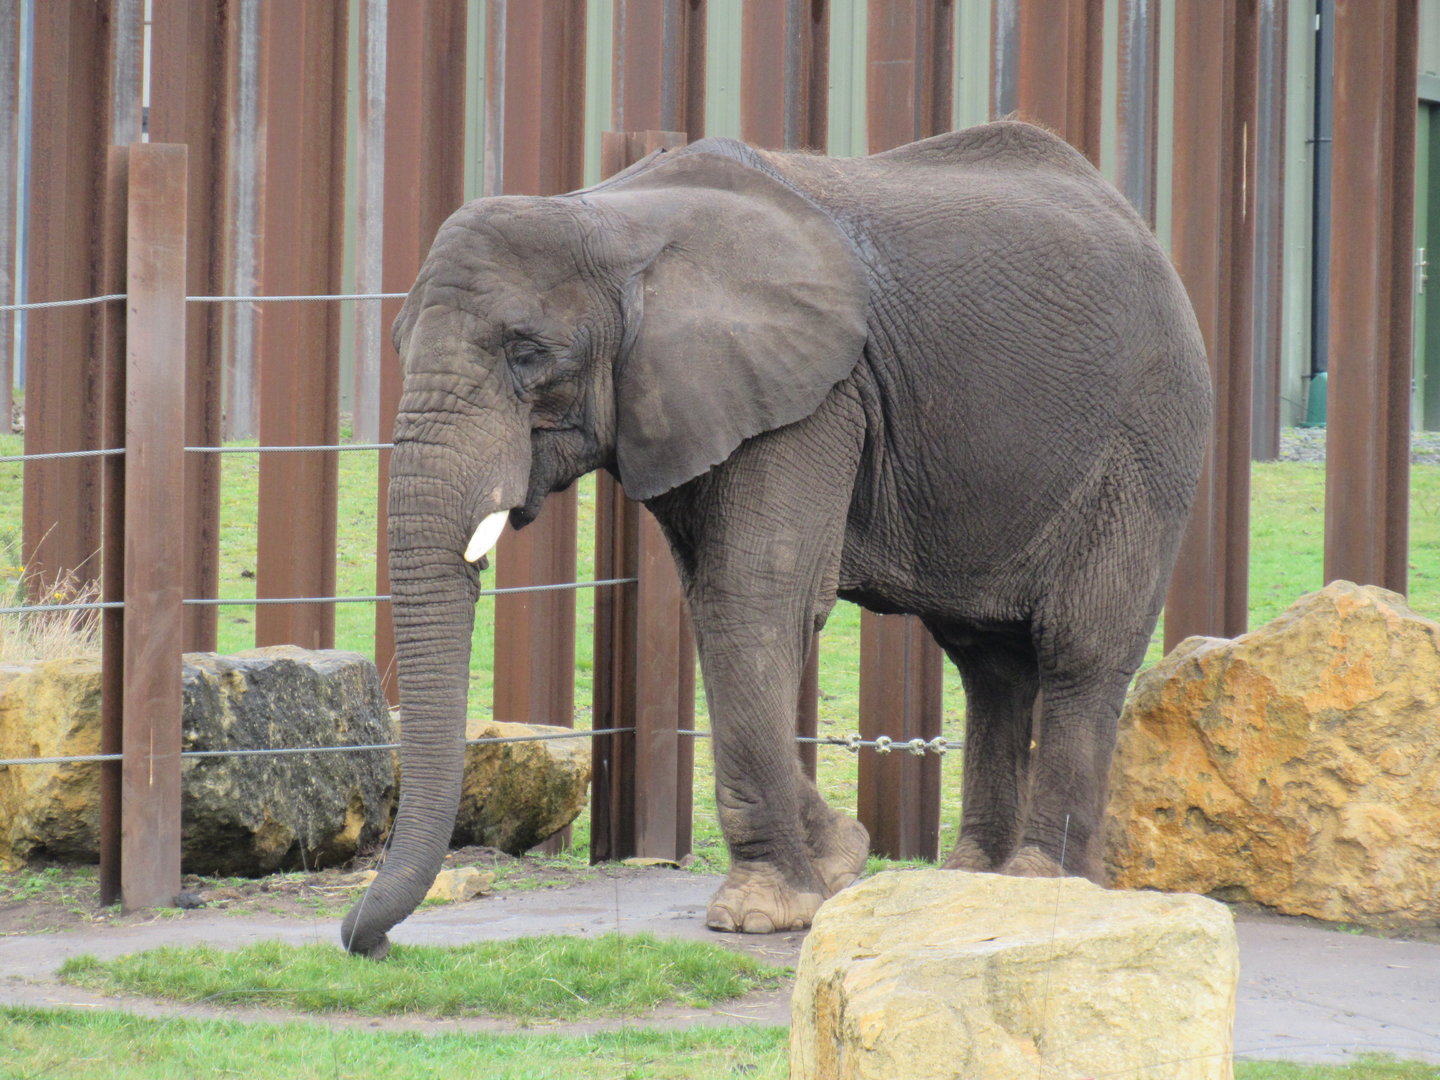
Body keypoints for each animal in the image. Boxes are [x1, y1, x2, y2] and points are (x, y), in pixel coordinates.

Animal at [340, 120, 1211, 958]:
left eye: (526, 353)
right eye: (396, 345)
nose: (363, 941)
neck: (611, 217)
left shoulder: (815, 396)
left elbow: (754, 595)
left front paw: (761, 914)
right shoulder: (690, 402)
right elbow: (716, 604)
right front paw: (840, 859)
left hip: (1145, 440)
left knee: (1079, 650)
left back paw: (1037, 883)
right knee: (988, 661)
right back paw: (971, 880)